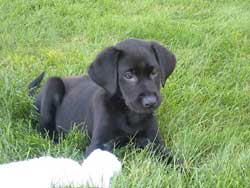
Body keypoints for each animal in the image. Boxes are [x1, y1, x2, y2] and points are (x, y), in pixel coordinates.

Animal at [29, 38, 176, 162]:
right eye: (128, 76)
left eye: (154, 72)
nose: (150, 102)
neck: (130, 114)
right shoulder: (98, 144)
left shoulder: (154, 141)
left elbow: (170, 157)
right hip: (52, 84)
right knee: (43, 130)